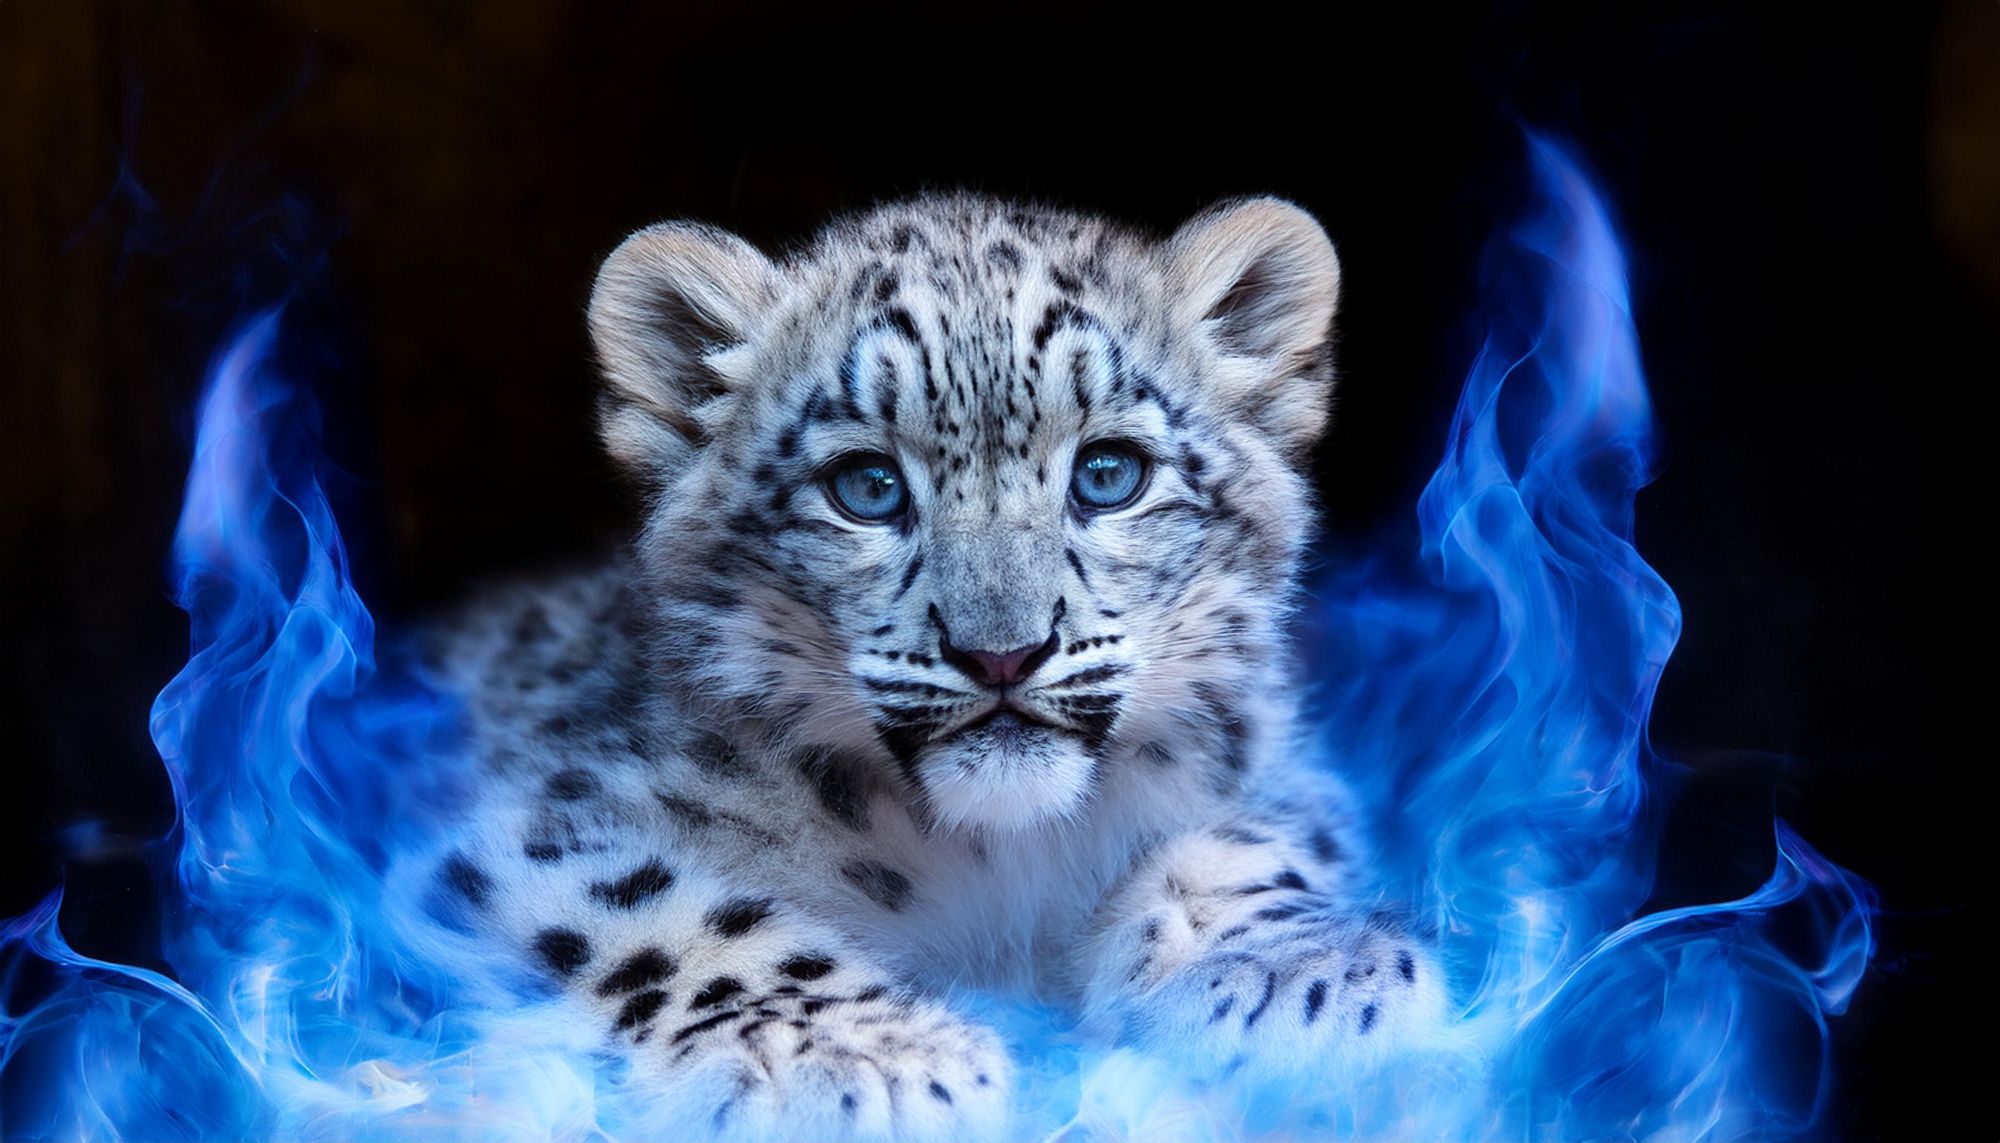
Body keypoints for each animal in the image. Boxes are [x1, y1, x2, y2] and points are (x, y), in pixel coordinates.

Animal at [411, 191, 1448, 1140]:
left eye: (1109, 473)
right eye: (867, 487)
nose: (1003, 652)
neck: (993, 860)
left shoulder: (1269, 759)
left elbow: (1246, 842)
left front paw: (1299, 968)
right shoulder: (534, 823)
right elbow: (661, 917)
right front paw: (858, 1056)